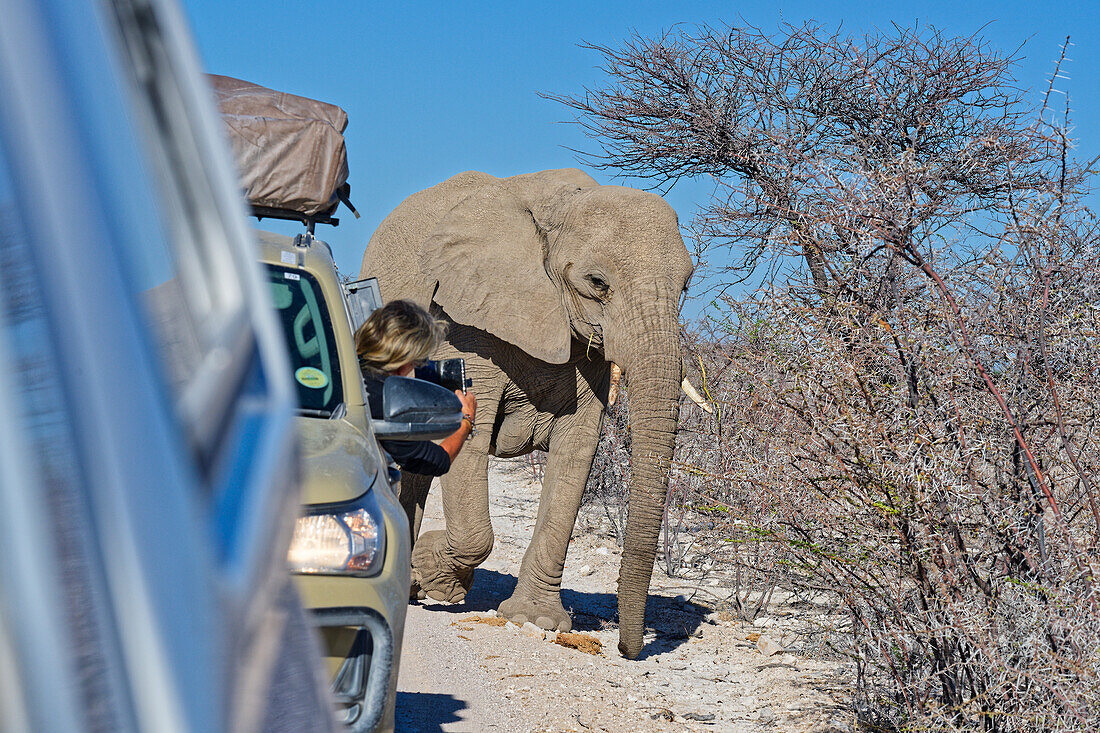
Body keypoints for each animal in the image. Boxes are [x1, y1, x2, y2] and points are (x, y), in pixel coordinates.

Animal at [360, 167, 695, 655]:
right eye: (598, 283)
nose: (627, 649)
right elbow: (471, 434)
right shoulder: (466, 321)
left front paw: (536, 619)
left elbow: (576, 453)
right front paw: (437, 580)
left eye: (685, 286)